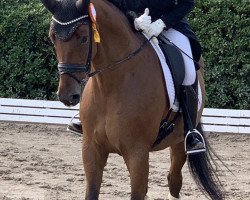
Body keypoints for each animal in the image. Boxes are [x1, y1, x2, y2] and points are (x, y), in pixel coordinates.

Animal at [41, 0, 223, 199]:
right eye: (53, 38)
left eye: (83, 38)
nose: (67, 95)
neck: (111, 85)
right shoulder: (91, 149)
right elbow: (92, 191)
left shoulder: (138, 154)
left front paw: (150, 25)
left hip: (178, 143)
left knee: (174, 180)